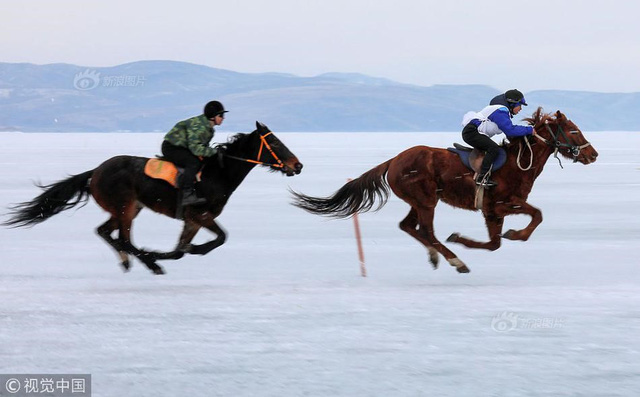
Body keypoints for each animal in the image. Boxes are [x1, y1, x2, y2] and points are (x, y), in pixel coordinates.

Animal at [4, 122, 304, 274]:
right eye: (274, 142)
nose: (297, 165)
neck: (218, 172)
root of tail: (95, 171)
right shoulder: (199, 214)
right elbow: (220, 238)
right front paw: (163, 254)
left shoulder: (192, 220)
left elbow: (182, 249)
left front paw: (185, 250)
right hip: (125, 208)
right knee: (123, 238)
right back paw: (148, 262)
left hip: (127, 208)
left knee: (105, 232)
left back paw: (129, 261)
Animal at [292, 110, 596, 274]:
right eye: (573, 130)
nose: (593, 154)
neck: (516, 163)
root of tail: (393, 161)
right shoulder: (501, 204)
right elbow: (537, 215)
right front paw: (514, 234)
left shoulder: (492, 212)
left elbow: (495, 243)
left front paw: (474, 238)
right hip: (427, 201)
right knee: (426, 231)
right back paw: (455, 260)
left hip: (420, 201)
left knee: (408, 226)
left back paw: (436, 256)